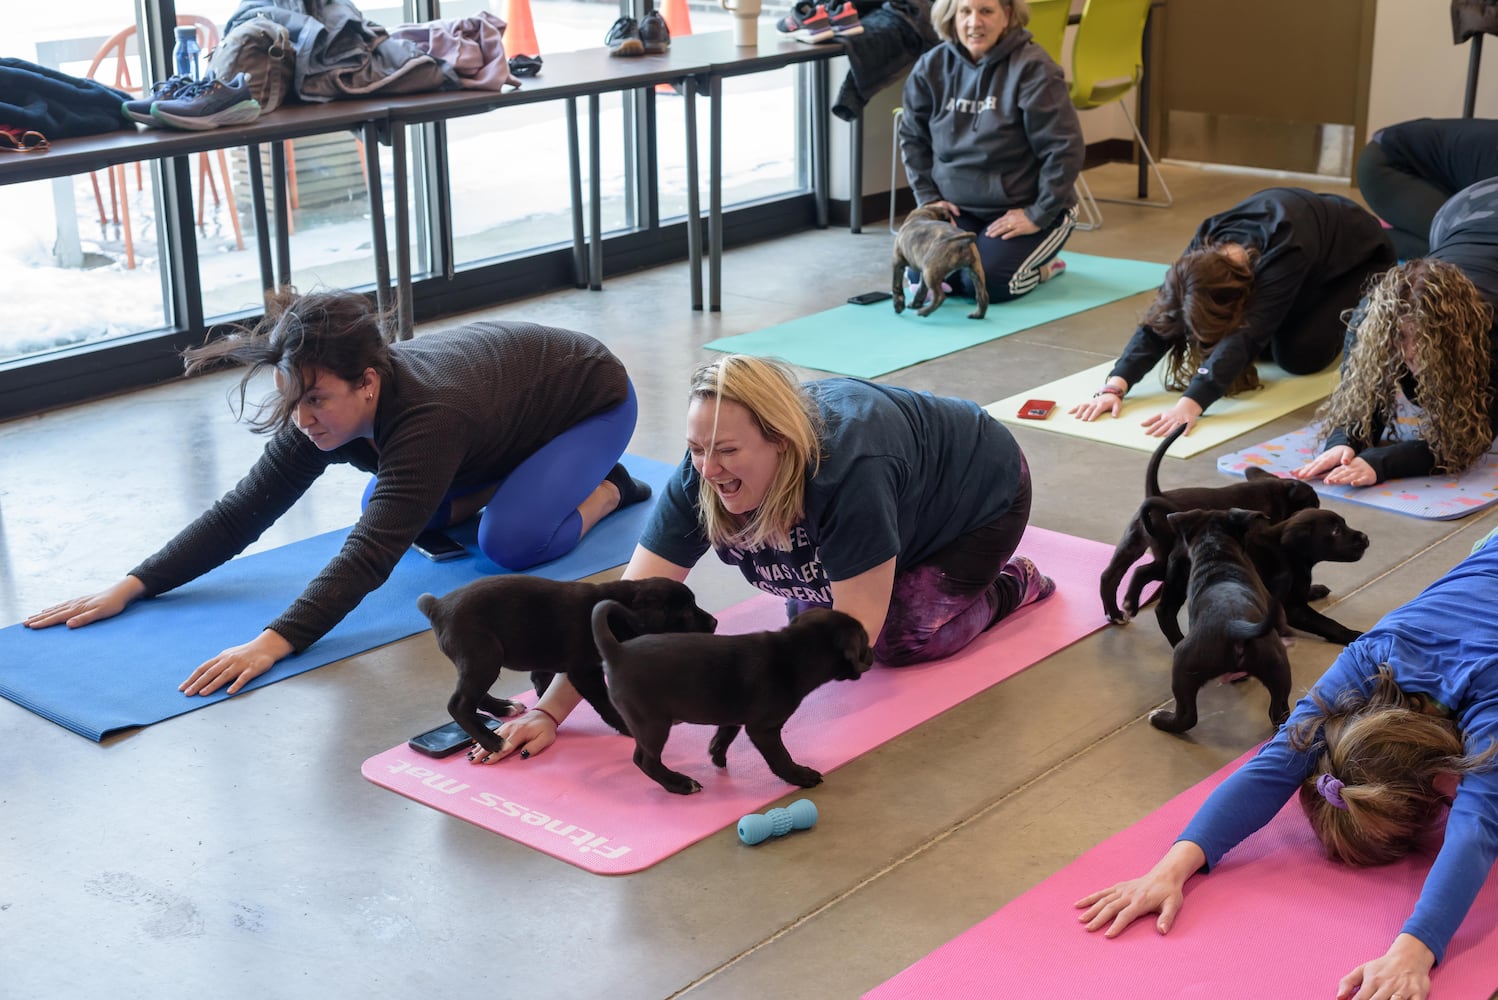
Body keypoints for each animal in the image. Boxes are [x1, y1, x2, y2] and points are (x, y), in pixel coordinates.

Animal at [416, 574, 719, 754]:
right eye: (686, 611)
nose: (715, 622)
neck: (620, 609)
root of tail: (437, 606)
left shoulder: (548, 663)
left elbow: (541, 682)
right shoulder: (584, 672)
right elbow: (606, 705)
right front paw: (626, 727)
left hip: (482, 659)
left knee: (472, 695)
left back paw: (503, 708)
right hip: (484, 654)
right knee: (458, 703)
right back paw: (493, 741)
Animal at [593, 592, 874, 796]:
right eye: (864, 641)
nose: (871, 654)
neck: (794, 649)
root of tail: (617, 652)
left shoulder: (733, 714)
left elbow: (725, 734)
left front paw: (717, 753)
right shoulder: (764, 729)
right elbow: (781, 758)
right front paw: (800, 776)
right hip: (653, 724)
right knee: (645, 761)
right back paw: (680, 784)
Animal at [1096, 425, 1318, 625]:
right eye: (1314, 504)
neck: (1275, 491)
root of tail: (1156, 494)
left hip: (1132, 543)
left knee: (1109, 576)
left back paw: (1115, 614)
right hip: (1165, 558)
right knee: (1141, 571)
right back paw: (1130, 605)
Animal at [1144, 508, 1372, 649]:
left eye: (1344, 524)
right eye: (1336, 531)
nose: (1365, 538)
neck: (1291, 553)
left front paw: (1315, 590)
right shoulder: (1293, 609)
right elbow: (1327, 622)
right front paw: (1353, 635)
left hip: (1177, 581)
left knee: (1164, 610)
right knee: (1165, 612)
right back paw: (1179, 642)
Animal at [1150, 508, 1294, 733]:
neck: (1217, 551)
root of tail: (1234, 627)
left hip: (1182, 664)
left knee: (1186, 716)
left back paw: (1160, 719)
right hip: (1278, 666)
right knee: (1279, 712)